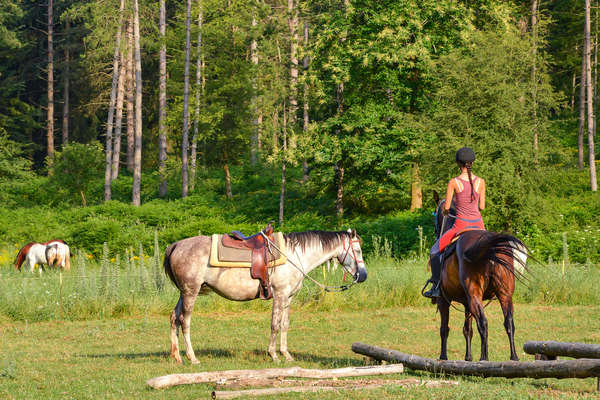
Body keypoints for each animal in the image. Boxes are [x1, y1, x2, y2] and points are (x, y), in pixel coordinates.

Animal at [432, 191, 524, 362]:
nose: (436, 232)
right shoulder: (466, 302)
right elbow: (467, 329)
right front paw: (468, 357)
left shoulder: (443, 300)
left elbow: (444, 329)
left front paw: (443, 357)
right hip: (504, 294)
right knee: (509, 323)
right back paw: (513, 356)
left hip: (475, 295)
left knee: (483, 323)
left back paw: (484, 358)